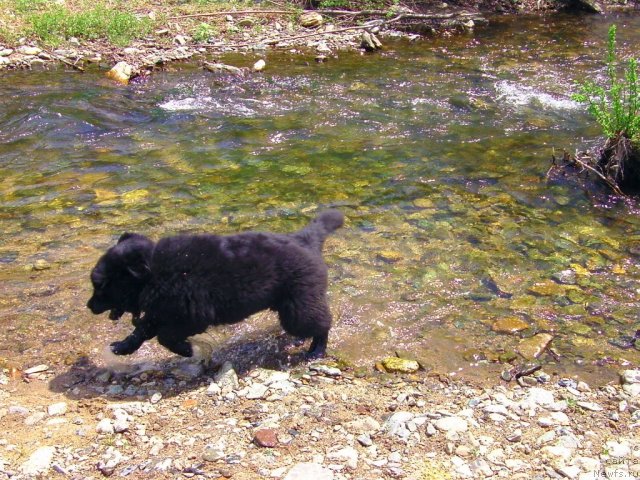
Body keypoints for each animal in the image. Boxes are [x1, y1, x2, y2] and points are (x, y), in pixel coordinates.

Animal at [89, 211, 344, 360]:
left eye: (102, 286)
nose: (89, 306)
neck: (155, 274)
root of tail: (305, 239)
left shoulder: (189, 317)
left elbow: (164, 337)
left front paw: (186, 350)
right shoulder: (160, 312)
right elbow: (141, 331)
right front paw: (123, 347)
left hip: (299, 304)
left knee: (322, 325)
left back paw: (317, 351)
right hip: (292, 306)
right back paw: (301, 341)